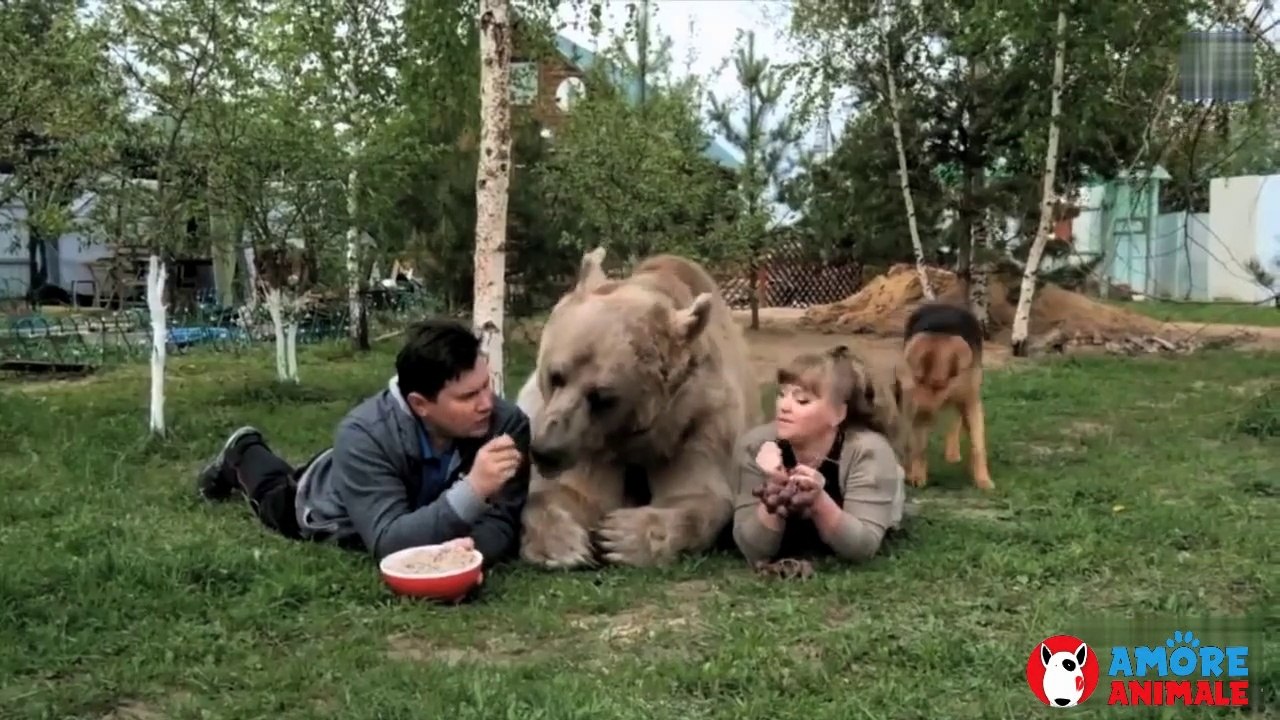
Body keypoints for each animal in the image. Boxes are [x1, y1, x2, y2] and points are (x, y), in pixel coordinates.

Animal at [514, 247, 760, 569]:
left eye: (602, 397)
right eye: (556, 375)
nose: (547, 451)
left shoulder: (698, 420)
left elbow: (698, 493)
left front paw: (620, 535)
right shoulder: (587, 443)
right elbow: (572, 492)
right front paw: (565, 544)